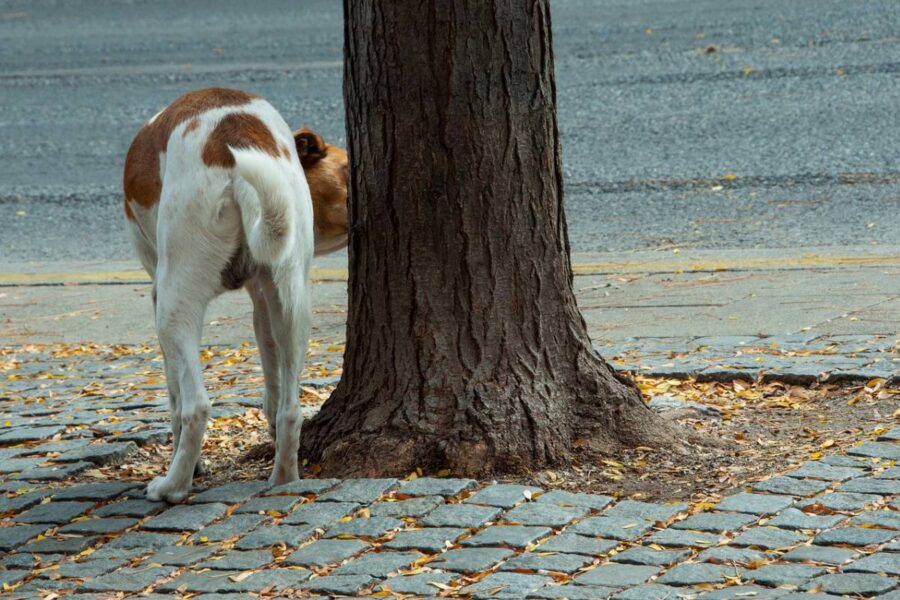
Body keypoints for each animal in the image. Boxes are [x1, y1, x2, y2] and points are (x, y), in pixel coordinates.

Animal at [125, 88, 350, 502]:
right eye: (347, 172)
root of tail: (232, 139)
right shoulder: (265, 300)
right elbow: (273, 384)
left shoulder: (157, 295)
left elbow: (174, 395)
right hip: (295, 305)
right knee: (291, 409)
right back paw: (283, 477)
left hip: (174, 303)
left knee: (196, 406)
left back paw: (173, 486)